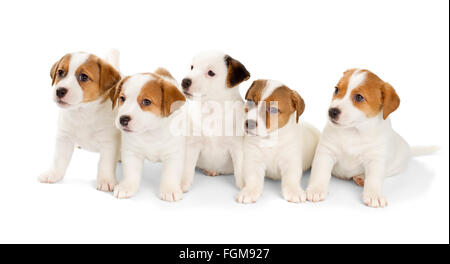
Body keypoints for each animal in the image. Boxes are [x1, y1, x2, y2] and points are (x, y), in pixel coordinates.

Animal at [38, 50, 121, 191]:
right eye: (60, 72)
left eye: (83, 77)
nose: (59, 91)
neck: (83, 112)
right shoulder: (64, 138)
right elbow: (58, 159)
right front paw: (52, 173)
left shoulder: (109, 143)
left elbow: (105, 163)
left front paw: (106, 180)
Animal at [113, 69, 187, 201]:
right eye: (122, 98)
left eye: (146, 101)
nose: (123, 119)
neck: (151, 133)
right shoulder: (132, 153)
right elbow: (130, 173)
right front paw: (126, 186)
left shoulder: (173, 154)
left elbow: (170, 174)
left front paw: (169, 189)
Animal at [179, 51, 251, 192]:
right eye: (192, 67)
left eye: (211, 73)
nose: (184, 81)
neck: (212, 110)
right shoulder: (192, 146)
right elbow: (187, 168)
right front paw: (183, 184)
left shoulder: (237, 147)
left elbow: (240, 169)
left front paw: (244, 186)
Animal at [304, 69, 438, 207]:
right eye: (336, 90)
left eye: (359, 97)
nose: (332, 111)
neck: (354, 131)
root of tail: (409, 149)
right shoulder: (326, 152)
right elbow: (320, 173)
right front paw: (316, 189)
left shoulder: (376, 160)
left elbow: (374, 180)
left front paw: (374, 195)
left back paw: (361, 177)